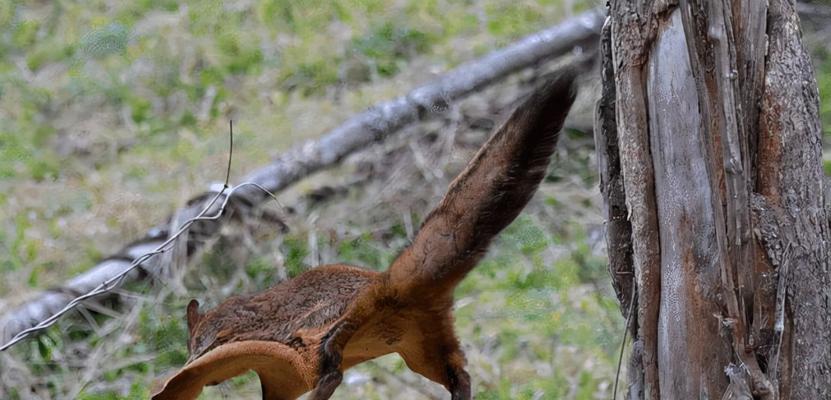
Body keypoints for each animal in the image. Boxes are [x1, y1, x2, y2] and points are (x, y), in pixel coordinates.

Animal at [151, 67, 580, 398]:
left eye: (194, 341)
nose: (199, 368)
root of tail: (387, 285)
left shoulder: (232, 332)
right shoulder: (277, 378)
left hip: (329, 331)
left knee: (333, 360)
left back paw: (328, 366)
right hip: (424, 347)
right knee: (459, 372)